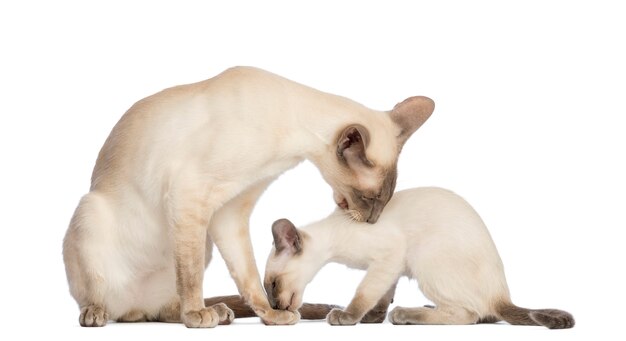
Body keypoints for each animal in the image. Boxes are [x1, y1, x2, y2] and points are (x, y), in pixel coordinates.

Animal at [63, 66, 434, 326]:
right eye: (370, 198)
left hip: (203, 243)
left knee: (161, 310)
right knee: (102, 299)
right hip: (89, 211)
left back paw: (212, 311)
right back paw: (101, 313)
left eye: (384, 200)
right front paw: (197, 315)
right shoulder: (190, 194)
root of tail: (131, 309)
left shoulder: (228, 210)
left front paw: (271, 315)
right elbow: (192, 275)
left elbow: (249, 276)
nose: (372, 220)